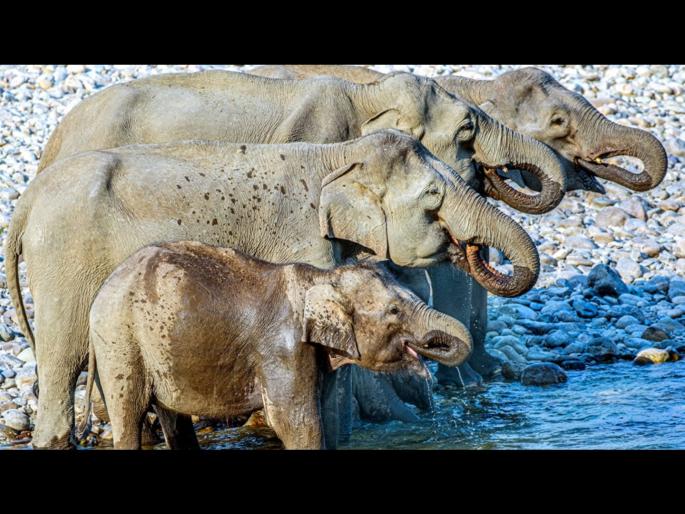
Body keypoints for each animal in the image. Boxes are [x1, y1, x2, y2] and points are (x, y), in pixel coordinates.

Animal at [80, 241, 473, 449]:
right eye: (394, 311)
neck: (320, 278)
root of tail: (99, 293)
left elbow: (323, 416)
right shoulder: (283, 350)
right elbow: (296, 424)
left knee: (173, 418)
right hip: (120, 342)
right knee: (129, 413)